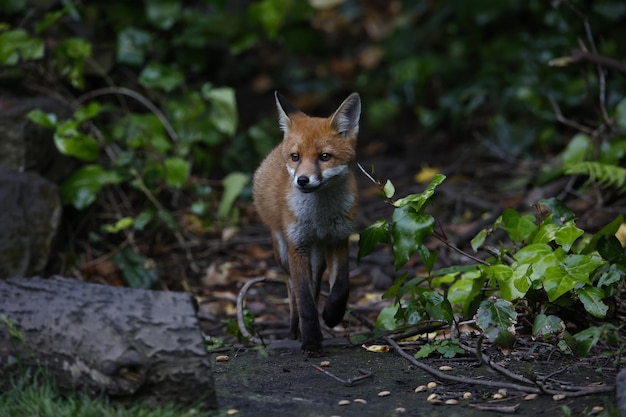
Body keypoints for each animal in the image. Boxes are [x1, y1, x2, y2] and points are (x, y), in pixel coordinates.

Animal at [251, 92, 358, 352]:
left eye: (324, 157)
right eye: (296, 157)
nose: (302, 180)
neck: (320, 217)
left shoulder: (339, 237)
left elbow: (341, 286)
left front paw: (331, 315)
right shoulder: (296, 245)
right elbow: (305, 301)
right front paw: (310, 340)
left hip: (317, 255)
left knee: (316, 285)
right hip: (282, 250)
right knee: (292, 289)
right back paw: (294, 329)